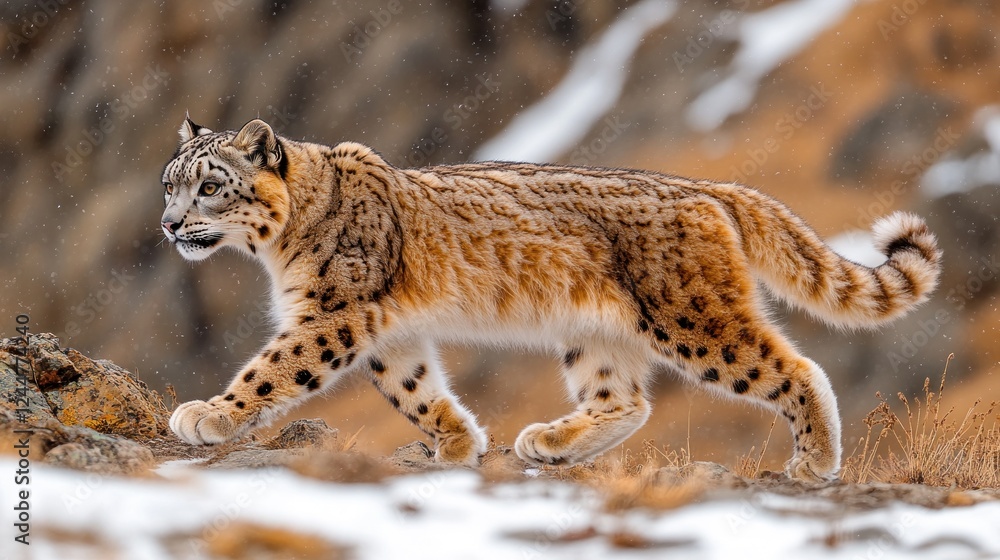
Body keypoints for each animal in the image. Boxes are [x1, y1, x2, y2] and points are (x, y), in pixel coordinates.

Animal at [161, 116, 941, 481]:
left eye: (210, 185)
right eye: (169, 183)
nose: (168, 225)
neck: (278, 249)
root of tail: (702, 187)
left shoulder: (334, 312)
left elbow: (275, 367)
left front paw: (208, 415)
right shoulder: (388, 330)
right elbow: (415, 388)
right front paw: (458, 441)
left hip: (693, 320)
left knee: (795, 367)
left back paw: (815, 463)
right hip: (596, 334)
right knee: (626, 399)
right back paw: (552, 443)